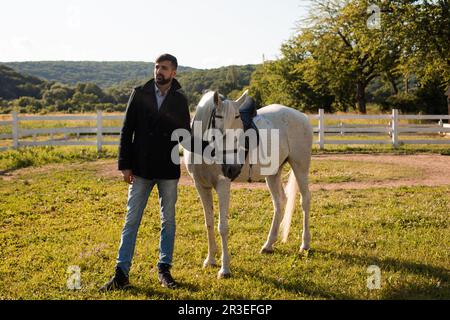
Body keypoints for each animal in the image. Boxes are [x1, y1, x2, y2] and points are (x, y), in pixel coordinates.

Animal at [183, 89, 312, 278]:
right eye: (220, 131)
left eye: (240, 130)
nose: (232, 169)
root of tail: (301, 116)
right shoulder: (201, 186)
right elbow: (209, 223)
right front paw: (210, 260)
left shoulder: (222, 186)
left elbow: (222, 227)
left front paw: (225, 269)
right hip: (272, 174)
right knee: (279, 203)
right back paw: (268, 245)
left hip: (300, 167)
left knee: (305, 201)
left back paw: (305, 244)